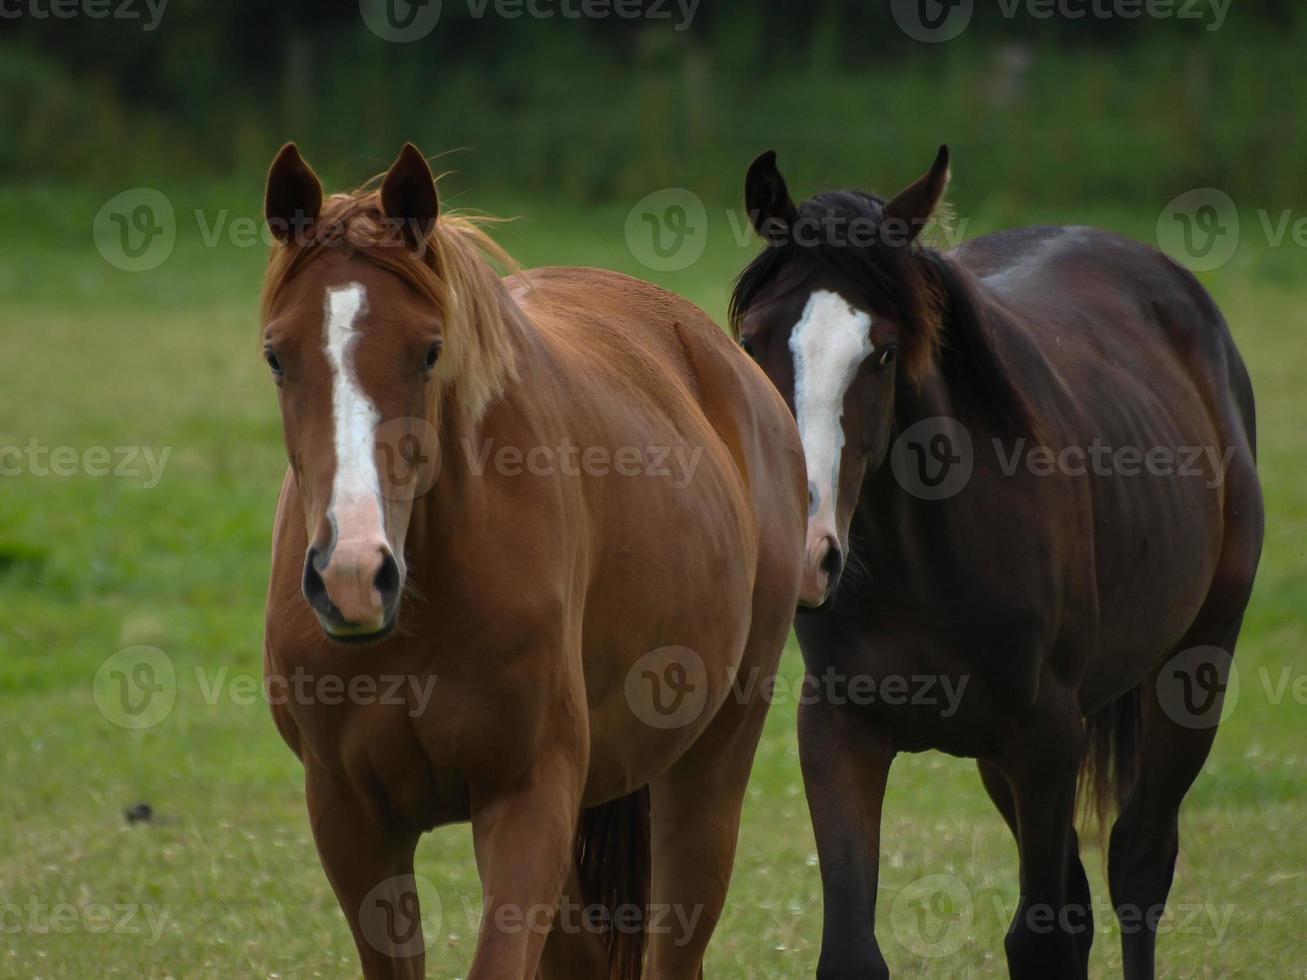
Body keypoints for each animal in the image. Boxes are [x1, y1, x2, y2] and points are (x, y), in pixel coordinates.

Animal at [257, 141, 805, 977]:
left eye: (430, 351)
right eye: (276, 357)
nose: (353, 575)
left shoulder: (526, 799)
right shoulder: (350, 820)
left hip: (709, 770)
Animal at [731, 147, 1259, 980]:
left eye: (882, 353)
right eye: (753, 340)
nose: (809, 550)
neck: (924, 560)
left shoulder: (1045, 736)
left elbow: (1039, 938)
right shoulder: (839, 729)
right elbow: (851, 949)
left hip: (1191, 673)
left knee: (1137, 868)